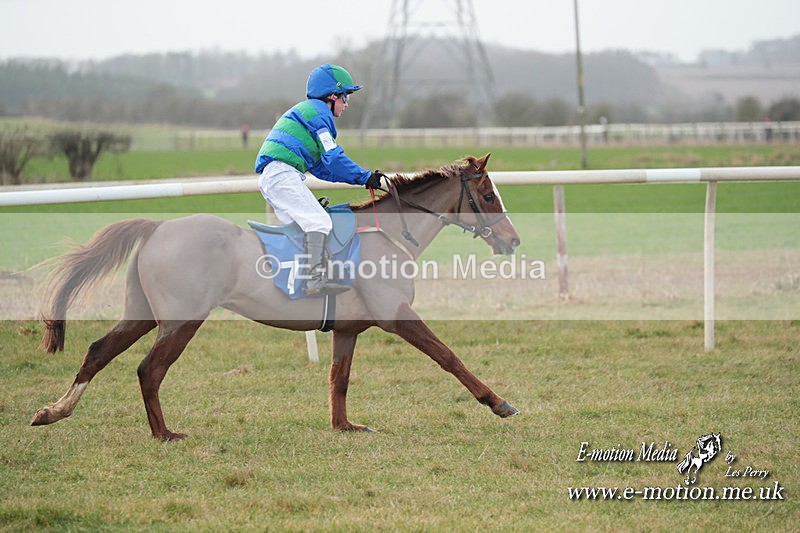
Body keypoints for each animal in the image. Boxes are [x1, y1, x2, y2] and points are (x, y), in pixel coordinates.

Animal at [30, 153, 521, 440]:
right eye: (487, 194)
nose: (512, 240)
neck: (388, 237)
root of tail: (158, 226)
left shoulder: (348, 329)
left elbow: (339, 378)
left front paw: (344, 426)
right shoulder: (396, 314)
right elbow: (449, 357)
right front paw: (498, 403)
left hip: (143, 313)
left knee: (99, 350)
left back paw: (53, 411)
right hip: (182, 319)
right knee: (149, 369)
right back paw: (164, 433)